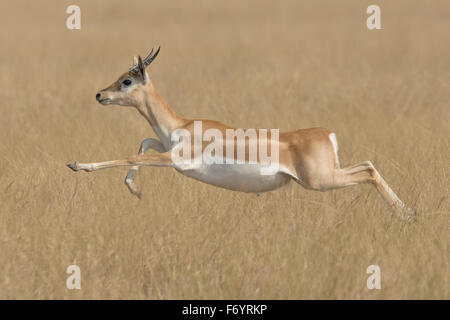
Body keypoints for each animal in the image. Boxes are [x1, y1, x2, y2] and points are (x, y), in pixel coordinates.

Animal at [66, 47, 414, 221]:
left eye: (127, 80)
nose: (100, 95)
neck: (182, 125)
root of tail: (327, 133)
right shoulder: (163, 146)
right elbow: (143, 143)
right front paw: (135, 190)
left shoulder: (175, 159)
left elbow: (129, 154)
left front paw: (78, 165)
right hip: (328, 175)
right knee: (369, 165)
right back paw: (409, 211)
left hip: (320, 181)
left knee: (368, 172)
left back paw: (406, 214)